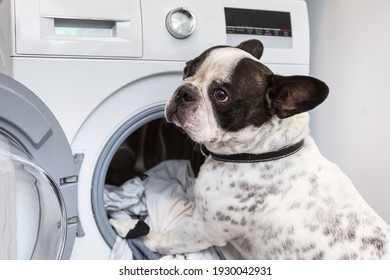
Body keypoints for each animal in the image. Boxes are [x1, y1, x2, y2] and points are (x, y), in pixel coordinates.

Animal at [142, 38, 390, 260]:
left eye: (221, 95)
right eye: (186, 69)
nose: (184, 91)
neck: (261, 153)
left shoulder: (202, 229)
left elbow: (173, 239)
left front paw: (146, 238)